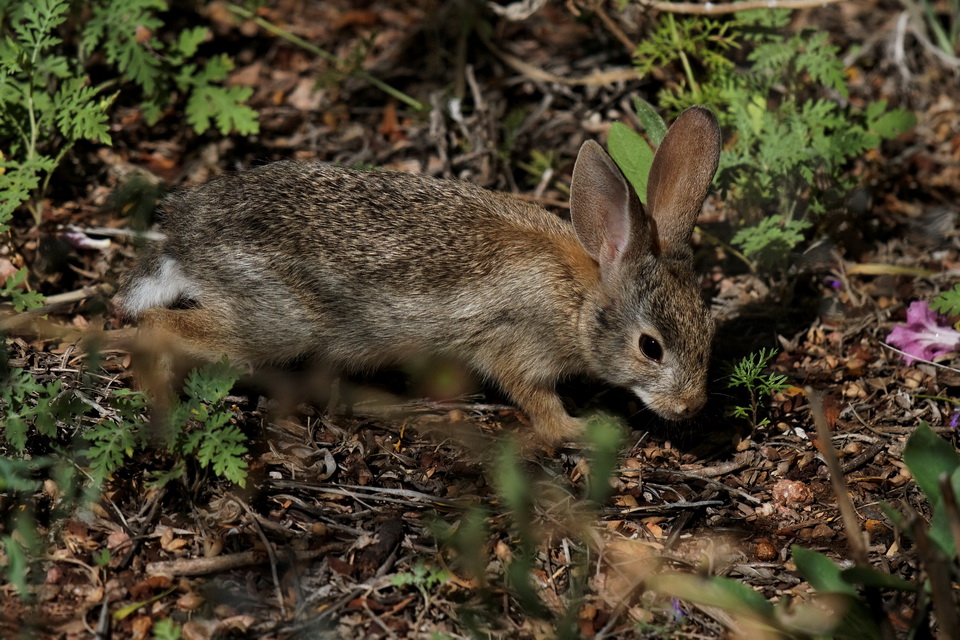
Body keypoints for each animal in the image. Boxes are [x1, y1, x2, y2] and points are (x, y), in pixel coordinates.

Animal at [115, 105, 721, 444]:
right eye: (650, 347)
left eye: (708, 329)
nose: (692, 407)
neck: (579, 299)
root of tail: (182, 236)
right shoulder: (515, 346)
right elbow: (537, 402)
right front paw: (580, 431)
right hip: (273, 322)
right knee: (158, 329)